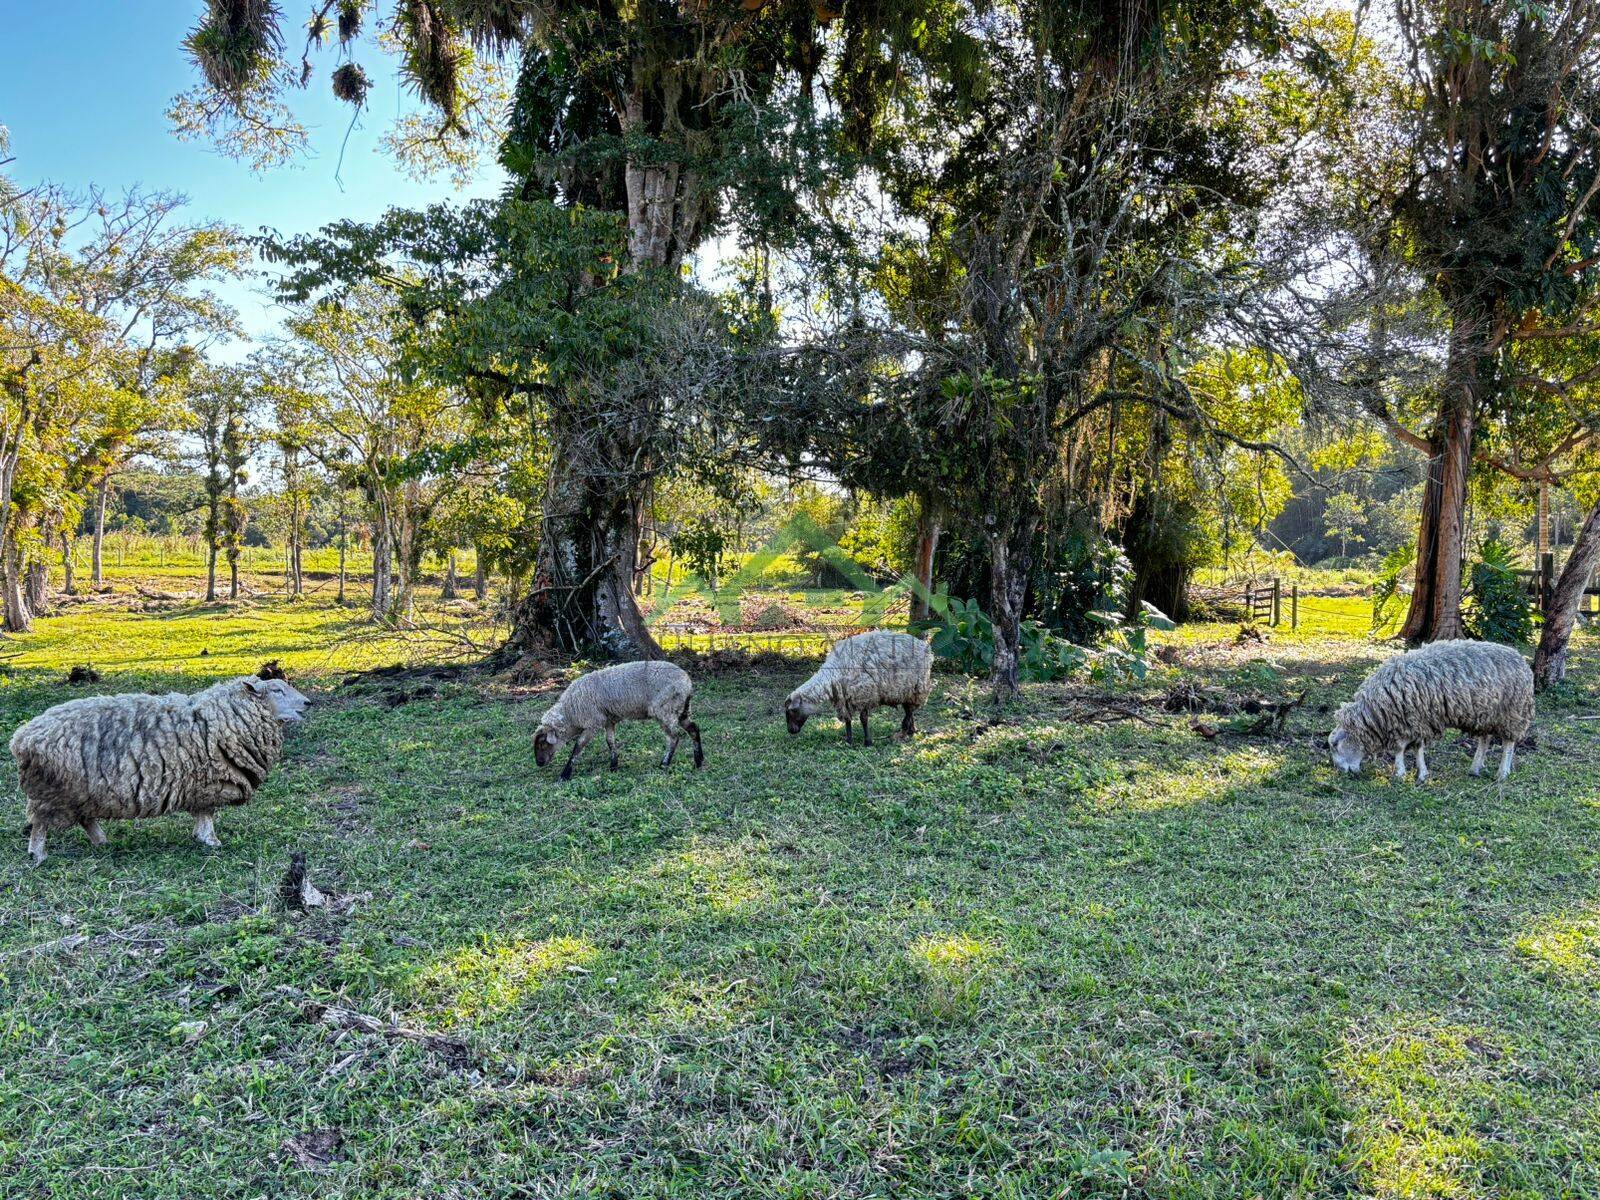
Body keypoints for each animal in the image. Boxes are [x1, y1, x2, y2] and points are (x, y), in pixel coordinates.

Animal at [13, 678, 308, 864]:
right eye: (277, 690)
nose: (307, 703)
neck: (225, 717)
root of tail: (22, 738)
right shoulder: (207, 782)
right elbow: (207, 814)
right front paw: (211, 840)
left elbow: (202, 814)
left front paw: (201, 837)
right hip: (51, 791)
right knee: (40, 823)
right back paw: (38, 854)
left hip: (81, 792)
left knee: (85, 818)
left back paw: (102, 841)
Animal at [534, 662, 704, 784]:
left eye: (543, 743)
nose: (539, 763)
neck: (571, 712)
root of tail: (687, 681)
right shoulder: (608, 720)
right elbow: (610, 742)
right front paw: (613, 766)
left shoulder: (593, 723)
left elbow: (578, 747)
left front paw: (564, 775)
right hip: (681, 710)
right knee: (694, 729)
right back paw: (698, 761)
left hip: (665, 709)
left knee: (674, 738)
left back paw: (664, 764)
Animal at [780, 633, 934, 748]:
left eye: (792, 710)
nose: (790, 731)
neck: (833, 674)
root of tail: (924, 646)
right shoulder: (843, 698)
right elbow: (848, 719)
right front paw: (848, 741)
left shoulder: (864, 694)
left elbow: (863, 719)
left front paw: (868, 742)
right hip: (905, 690)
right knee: (909, 709)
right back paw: (911, 729)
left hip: (917, 687)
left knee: (910, 710)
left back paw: (903, 730)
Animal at [1324, 640, 1536, 790]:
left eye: (1334, 745)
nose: (1342, 772)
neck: (1378, 710)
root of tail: (1522, 661)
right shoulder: (1415, 722)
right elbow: (1414, 748)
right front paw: (1419, 774)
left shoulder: (1414, 719)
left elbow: (1403, 748)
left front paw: (1402, 773)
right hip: (1486, 714)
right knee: (1485, 739)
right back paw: (1475, 769)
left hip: (1512, 712)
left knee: (1508, 743)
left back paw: (1502, 773)